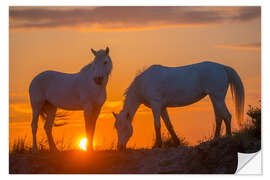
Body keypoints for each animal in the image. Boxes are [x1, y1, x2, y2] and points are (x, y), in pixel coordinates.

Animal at [113, 61, 245, 150]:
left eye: (125, 127)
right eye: (116, 128)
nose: (120, 147)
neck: (143, 83)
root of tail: (222, 67)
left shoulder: (156, 105)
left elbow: (157, 125)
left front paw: (158, 145)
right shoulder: (162, 107)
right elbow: (168, 124)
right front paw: (177, 143)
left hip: (217, 98)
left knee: (227, 116)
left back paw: (227, 137)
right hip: (214, 98)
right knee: (219, 118)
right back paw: (215, 139)